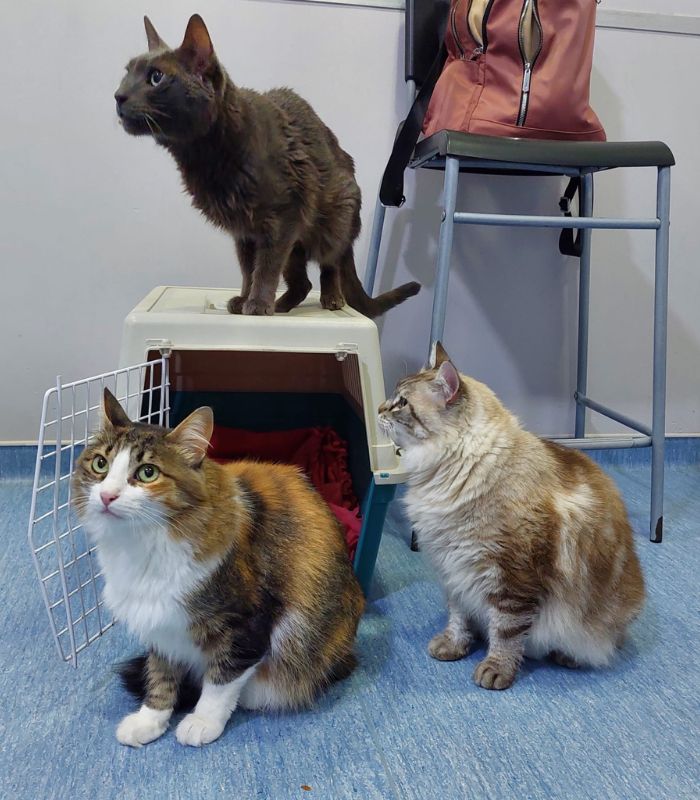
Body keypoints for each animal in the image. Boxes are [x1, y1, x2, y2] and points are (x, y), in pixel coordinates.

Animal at [71, 389, 364, 747]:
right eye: (100, 464)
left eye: (147, 473)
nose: (107, 496)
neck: (142, 545)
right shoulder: (158, 622)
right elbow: (160, 676)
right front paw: (150, 721)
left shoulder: (244, 624)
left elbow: (222, 679)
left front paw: (202, 721)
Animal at [114, 14, 420, 318]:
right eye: (126, 74)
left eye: (156, 77)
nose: (118, 95)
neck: (206, 159)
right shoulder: (244, 233)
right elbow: (248, 270)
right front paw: (244, 299)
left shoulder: (283, 217)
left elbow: (266, 267)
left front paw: (258, 303)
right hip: (296, 248)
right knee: (303, 283)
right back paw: (282, 305)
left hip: (334, 220)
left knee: (329, 264)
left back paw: (331, 298)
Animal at [378, 343, 645, 690]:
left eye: (402, 402)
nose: (379, 410)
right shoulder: (454, 571)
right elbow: (458, 618)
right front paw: (454, 646)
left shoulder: (510, 577)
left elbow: (505, 633)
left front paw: (496, 670)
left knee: (609, 642)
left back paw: (569, 655)